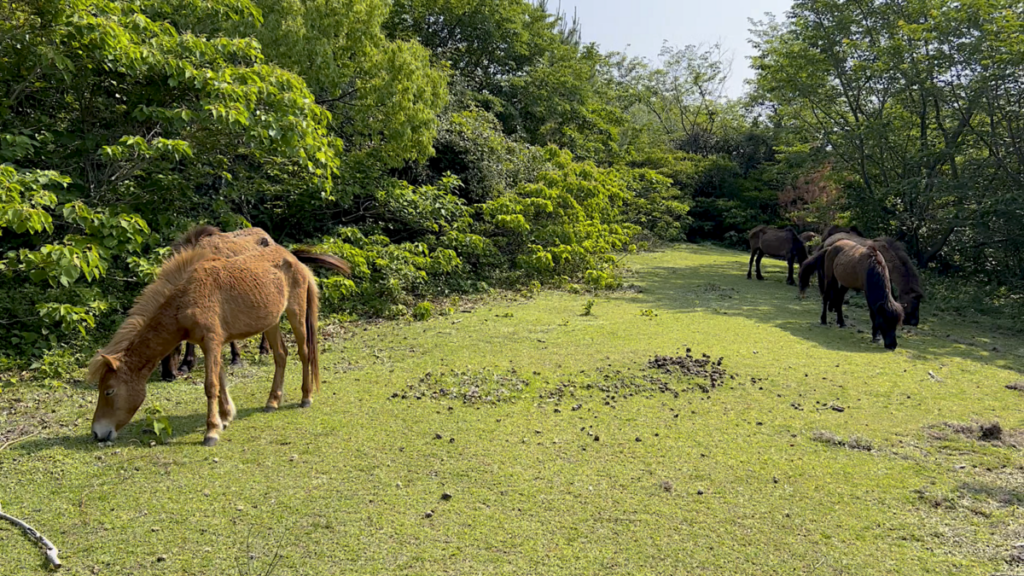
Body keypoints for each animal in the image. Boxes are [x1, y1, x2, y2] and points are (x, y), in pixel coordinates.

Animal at [89, 243, 351, 446]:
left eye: (109, 390)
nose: (97, 433)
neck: (187, 297)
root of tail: (295, 260)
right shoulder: (213, 343)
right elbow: (221, 380)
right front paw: (225, 417)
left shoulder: (212, 341)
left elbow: (211, 385)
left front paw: (212, 431)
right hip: (272, 322)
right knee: (281, 355)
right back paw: (272, 401)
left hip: (295, 313)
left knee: (305, 353)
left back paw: (306, 397)